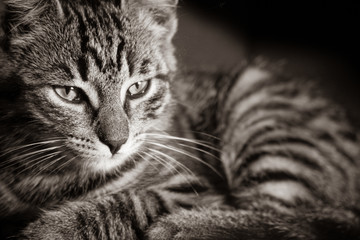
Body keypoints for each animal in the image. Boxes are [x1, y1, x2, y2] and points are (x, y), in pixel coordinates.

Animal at [0, 0, 360, 239]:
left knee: (285, 217)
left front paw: (53, 228)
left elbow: (133, 200)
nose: (116, 142)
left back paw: (182, 227)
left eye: (138, 88)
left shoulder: (195, 187)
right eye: (69, 93)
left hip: (262, 114)